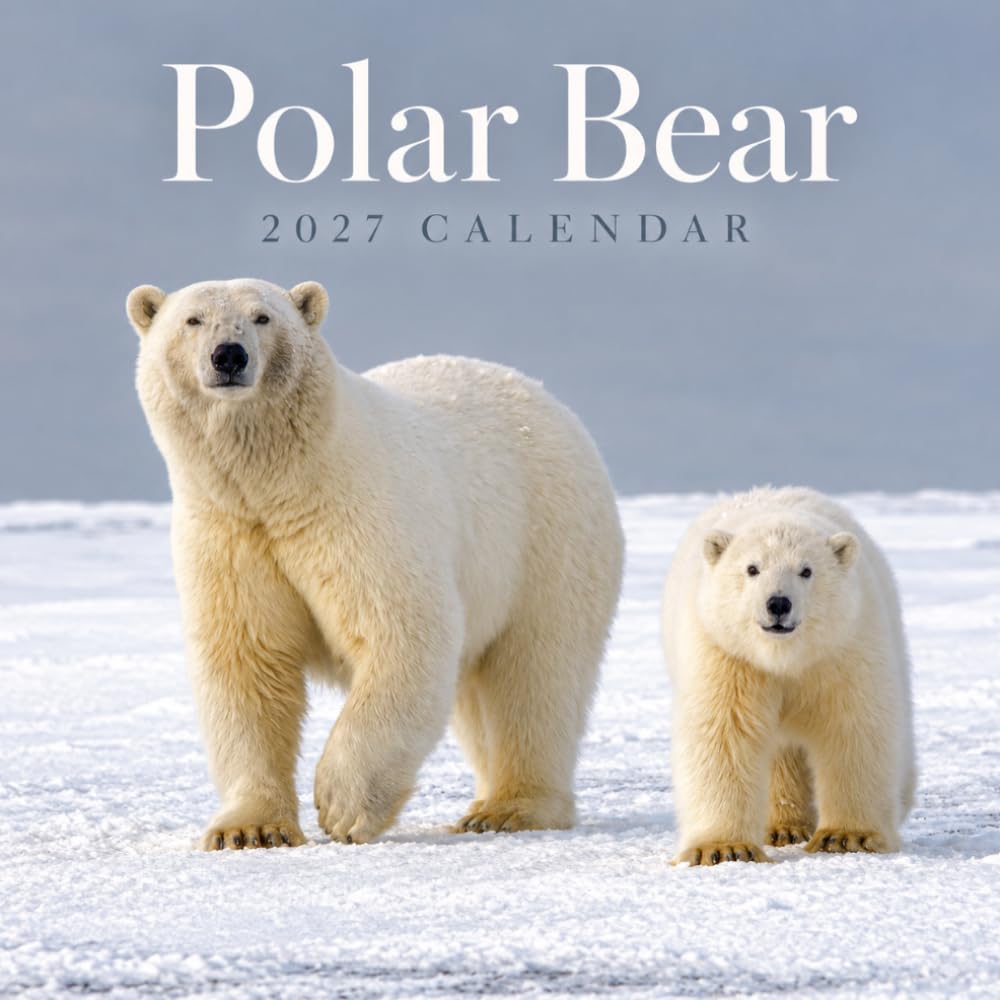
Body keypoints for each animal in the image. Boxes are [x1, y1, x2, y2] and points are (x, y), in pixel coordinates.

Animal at [126, 278, 624, 850]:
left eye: (262, 317)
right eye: (193, 320)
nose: (228, 355)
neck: (281, 485)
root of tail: (545, 397)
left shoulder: (357, 516)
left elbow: (401, 633)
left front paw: (342, 806)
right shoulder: (228, 535)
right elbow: (247, 662)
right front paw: (249, 829)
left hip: (546, 538)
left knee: (536, 674)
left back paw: (508, 808)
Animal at [660, 486, 915, 865]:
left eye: (806, 571)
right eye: (752, 568)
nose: (778, 603)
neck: (785, 658)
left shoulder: (843, 648)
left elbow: (853, 727)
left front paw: (847, 836)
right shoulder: (727, 655)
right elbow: (723, 734)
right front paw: (724, 848)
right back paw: (783, 827)